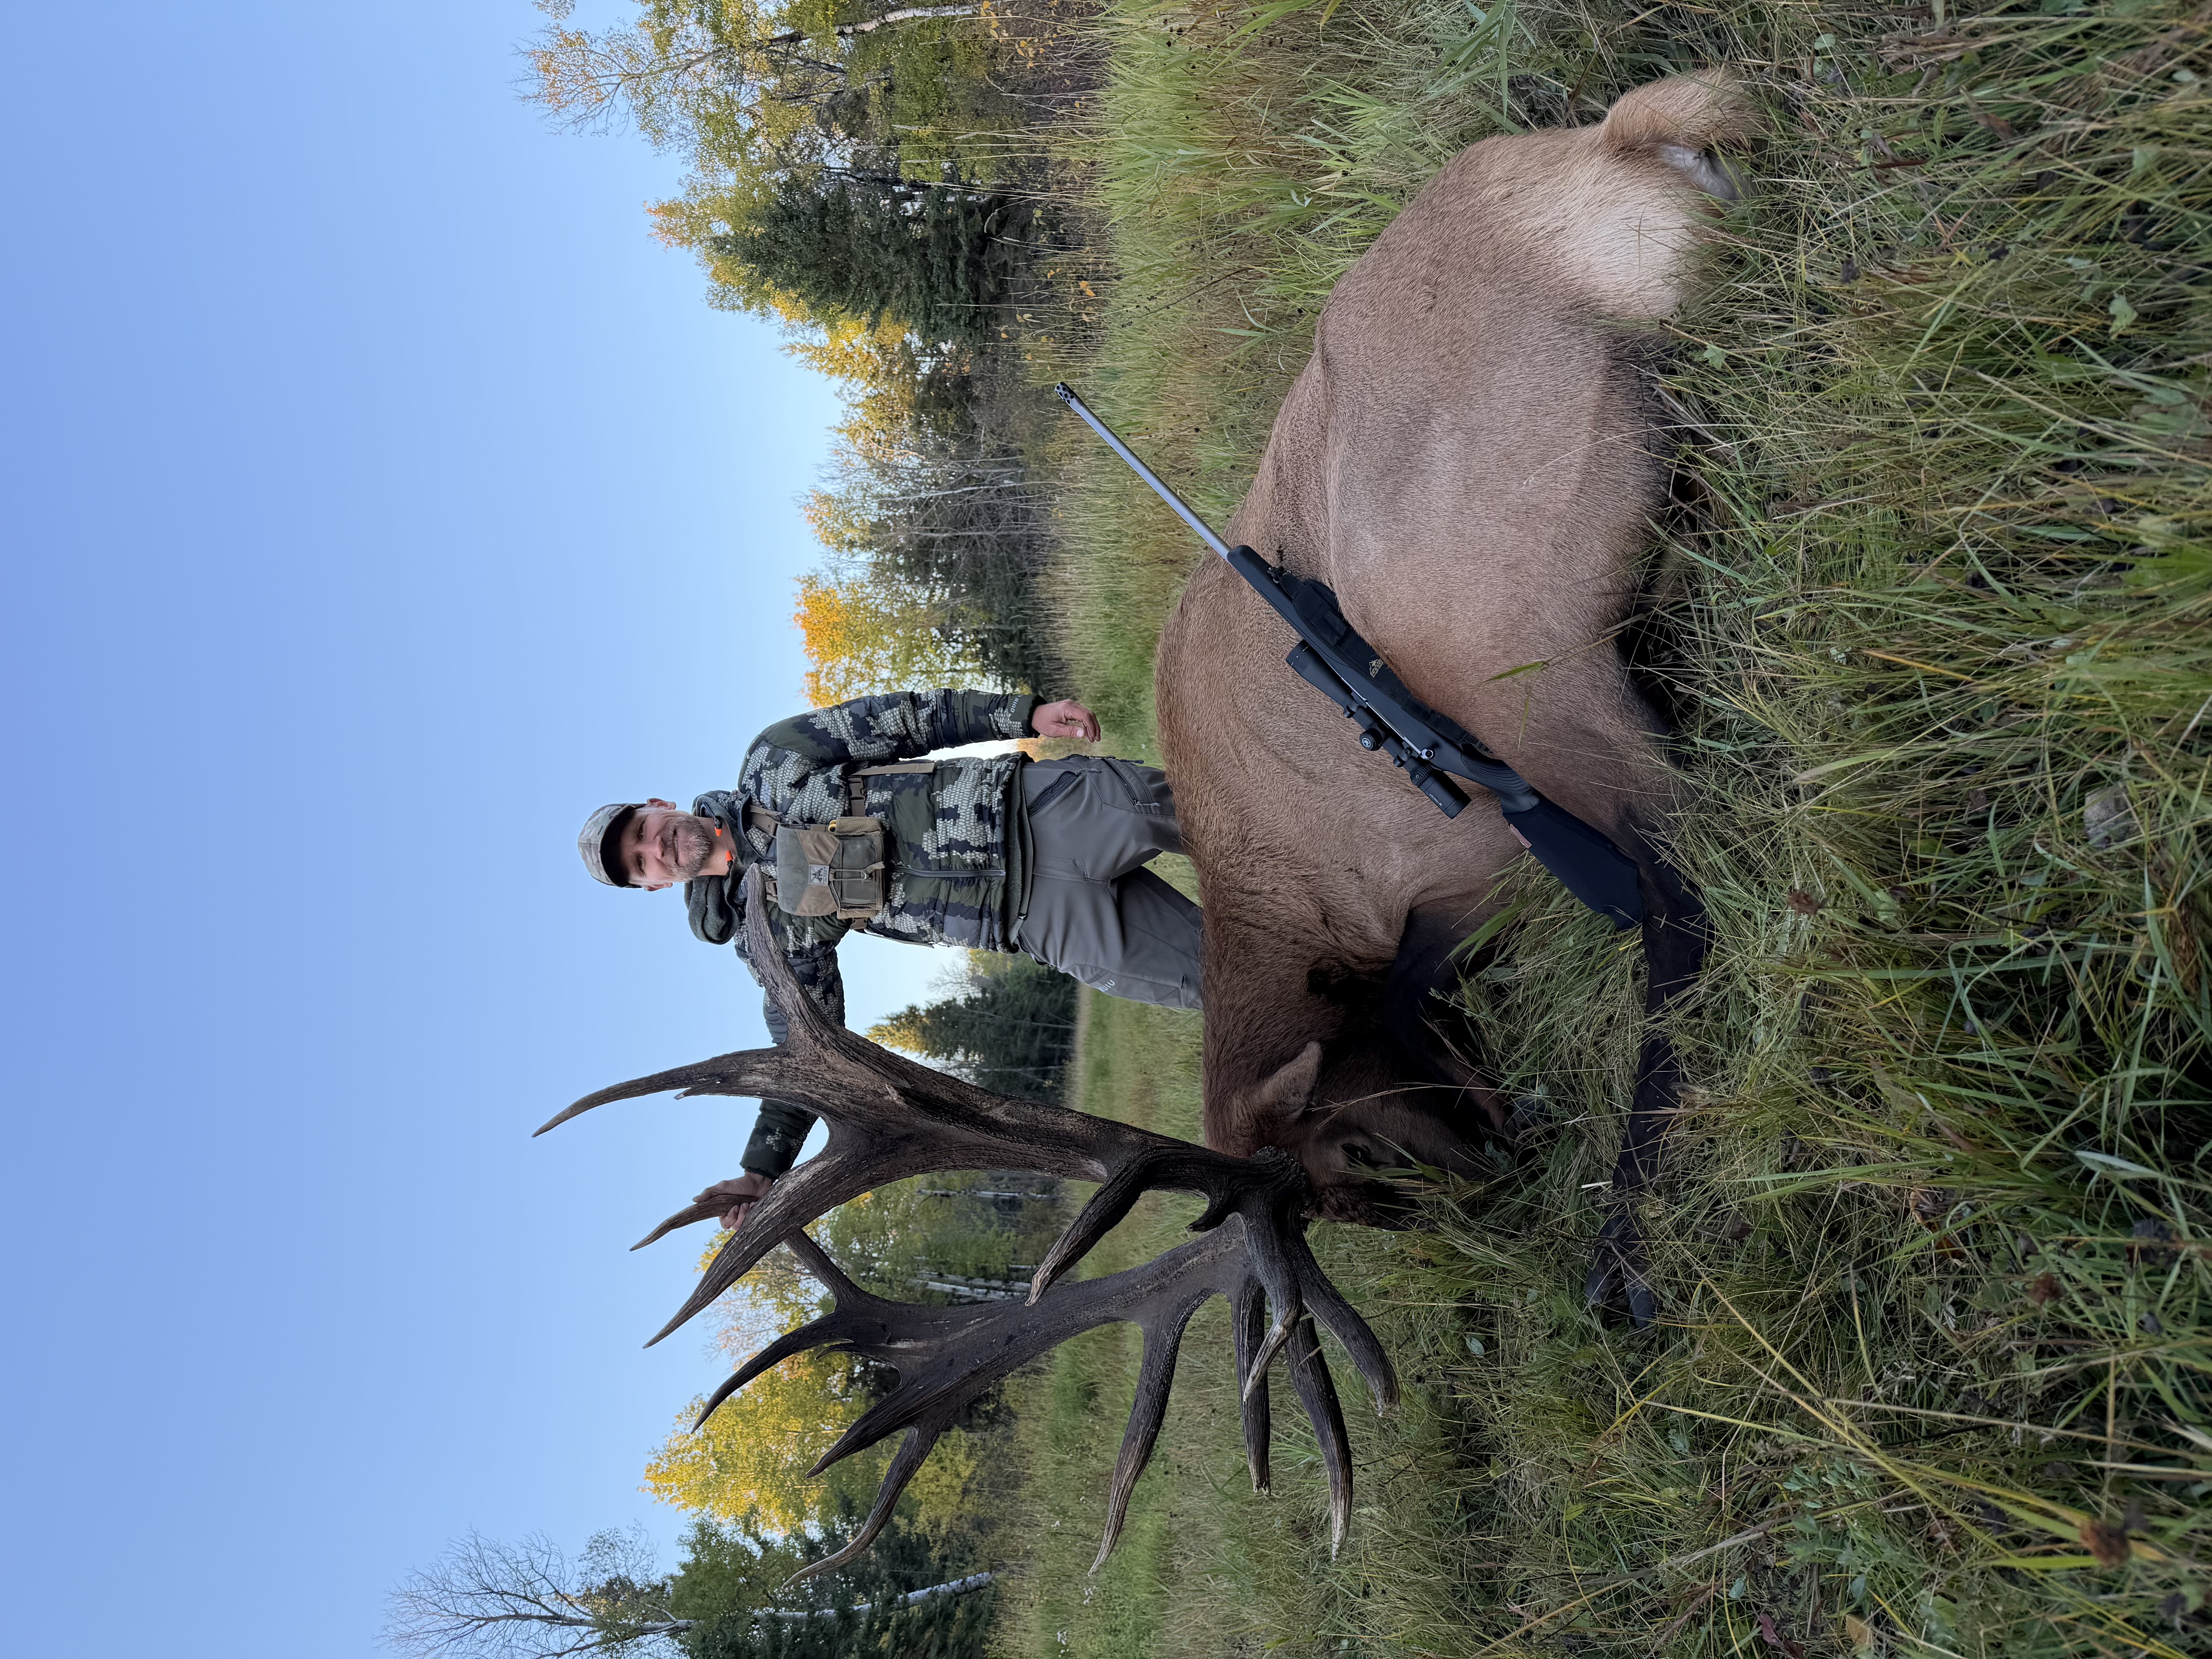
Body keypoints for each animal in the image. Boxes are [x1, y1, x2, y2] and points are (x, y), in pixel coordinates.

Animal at [1149, 69, 1755, 1315]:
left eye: (1347, 1149)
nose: (1493, 1192)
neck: (1284, 902)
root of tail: (1613, 153)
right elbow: (1414, 996)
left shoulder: (1471, 868)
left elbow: (1404, 996)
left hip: (1493, 651)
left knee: (1684, 871)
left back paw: (1628, 1247)